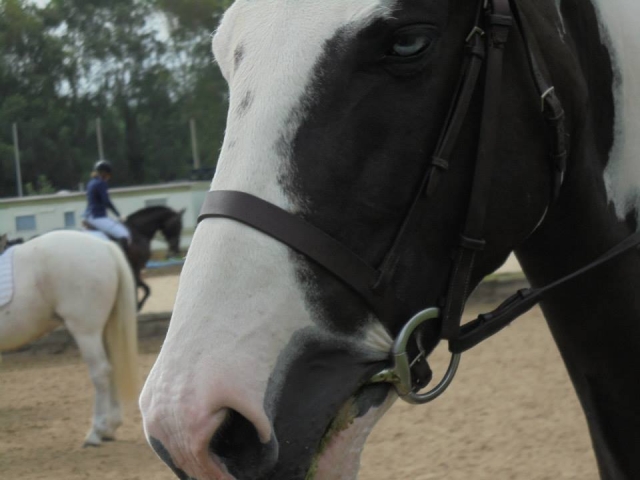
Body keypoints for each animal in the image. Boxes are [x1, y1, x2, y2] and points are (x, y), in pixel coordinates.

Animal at [0, 230, 139, 447]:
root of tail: (104, 246)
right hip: (102, 331)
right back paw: (109, 429)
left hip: (86, 332)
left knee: (100, 372)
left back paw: (96, 432)